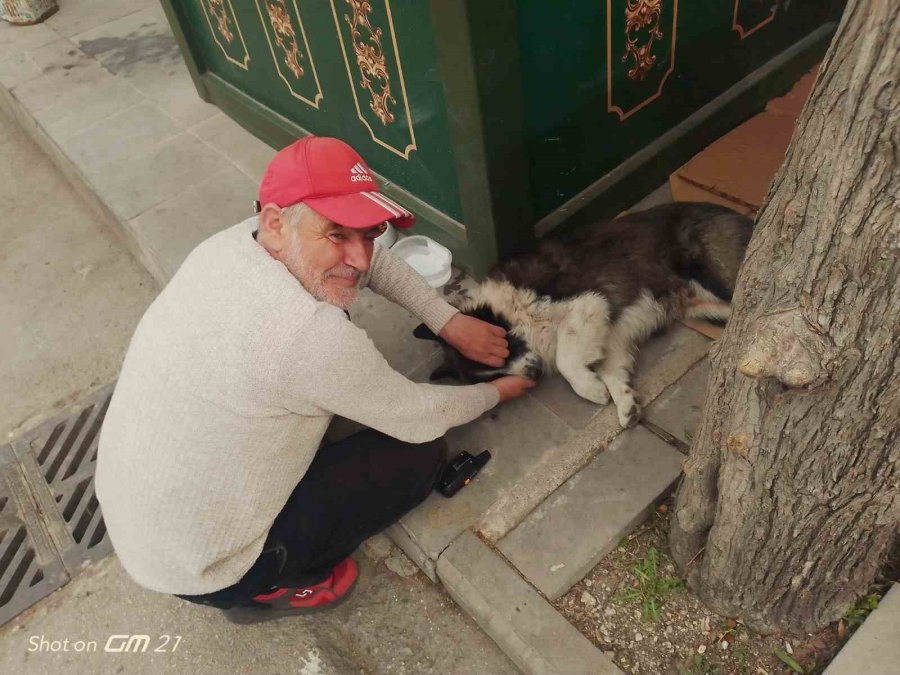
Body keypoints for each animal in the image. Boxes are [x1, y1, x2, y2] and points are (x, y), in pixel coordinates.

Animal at [414, 201, 752, 430]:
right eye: (495, 376)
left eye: (501, 351)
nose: (534, 374)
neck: (513, 314)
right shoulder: (613, 333)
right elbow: (611, 370)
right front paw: (624, 403)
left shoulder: (588, 303)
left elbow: (567, 361)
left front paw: (591, 389)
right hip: (709, 306)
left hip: (720, 276)